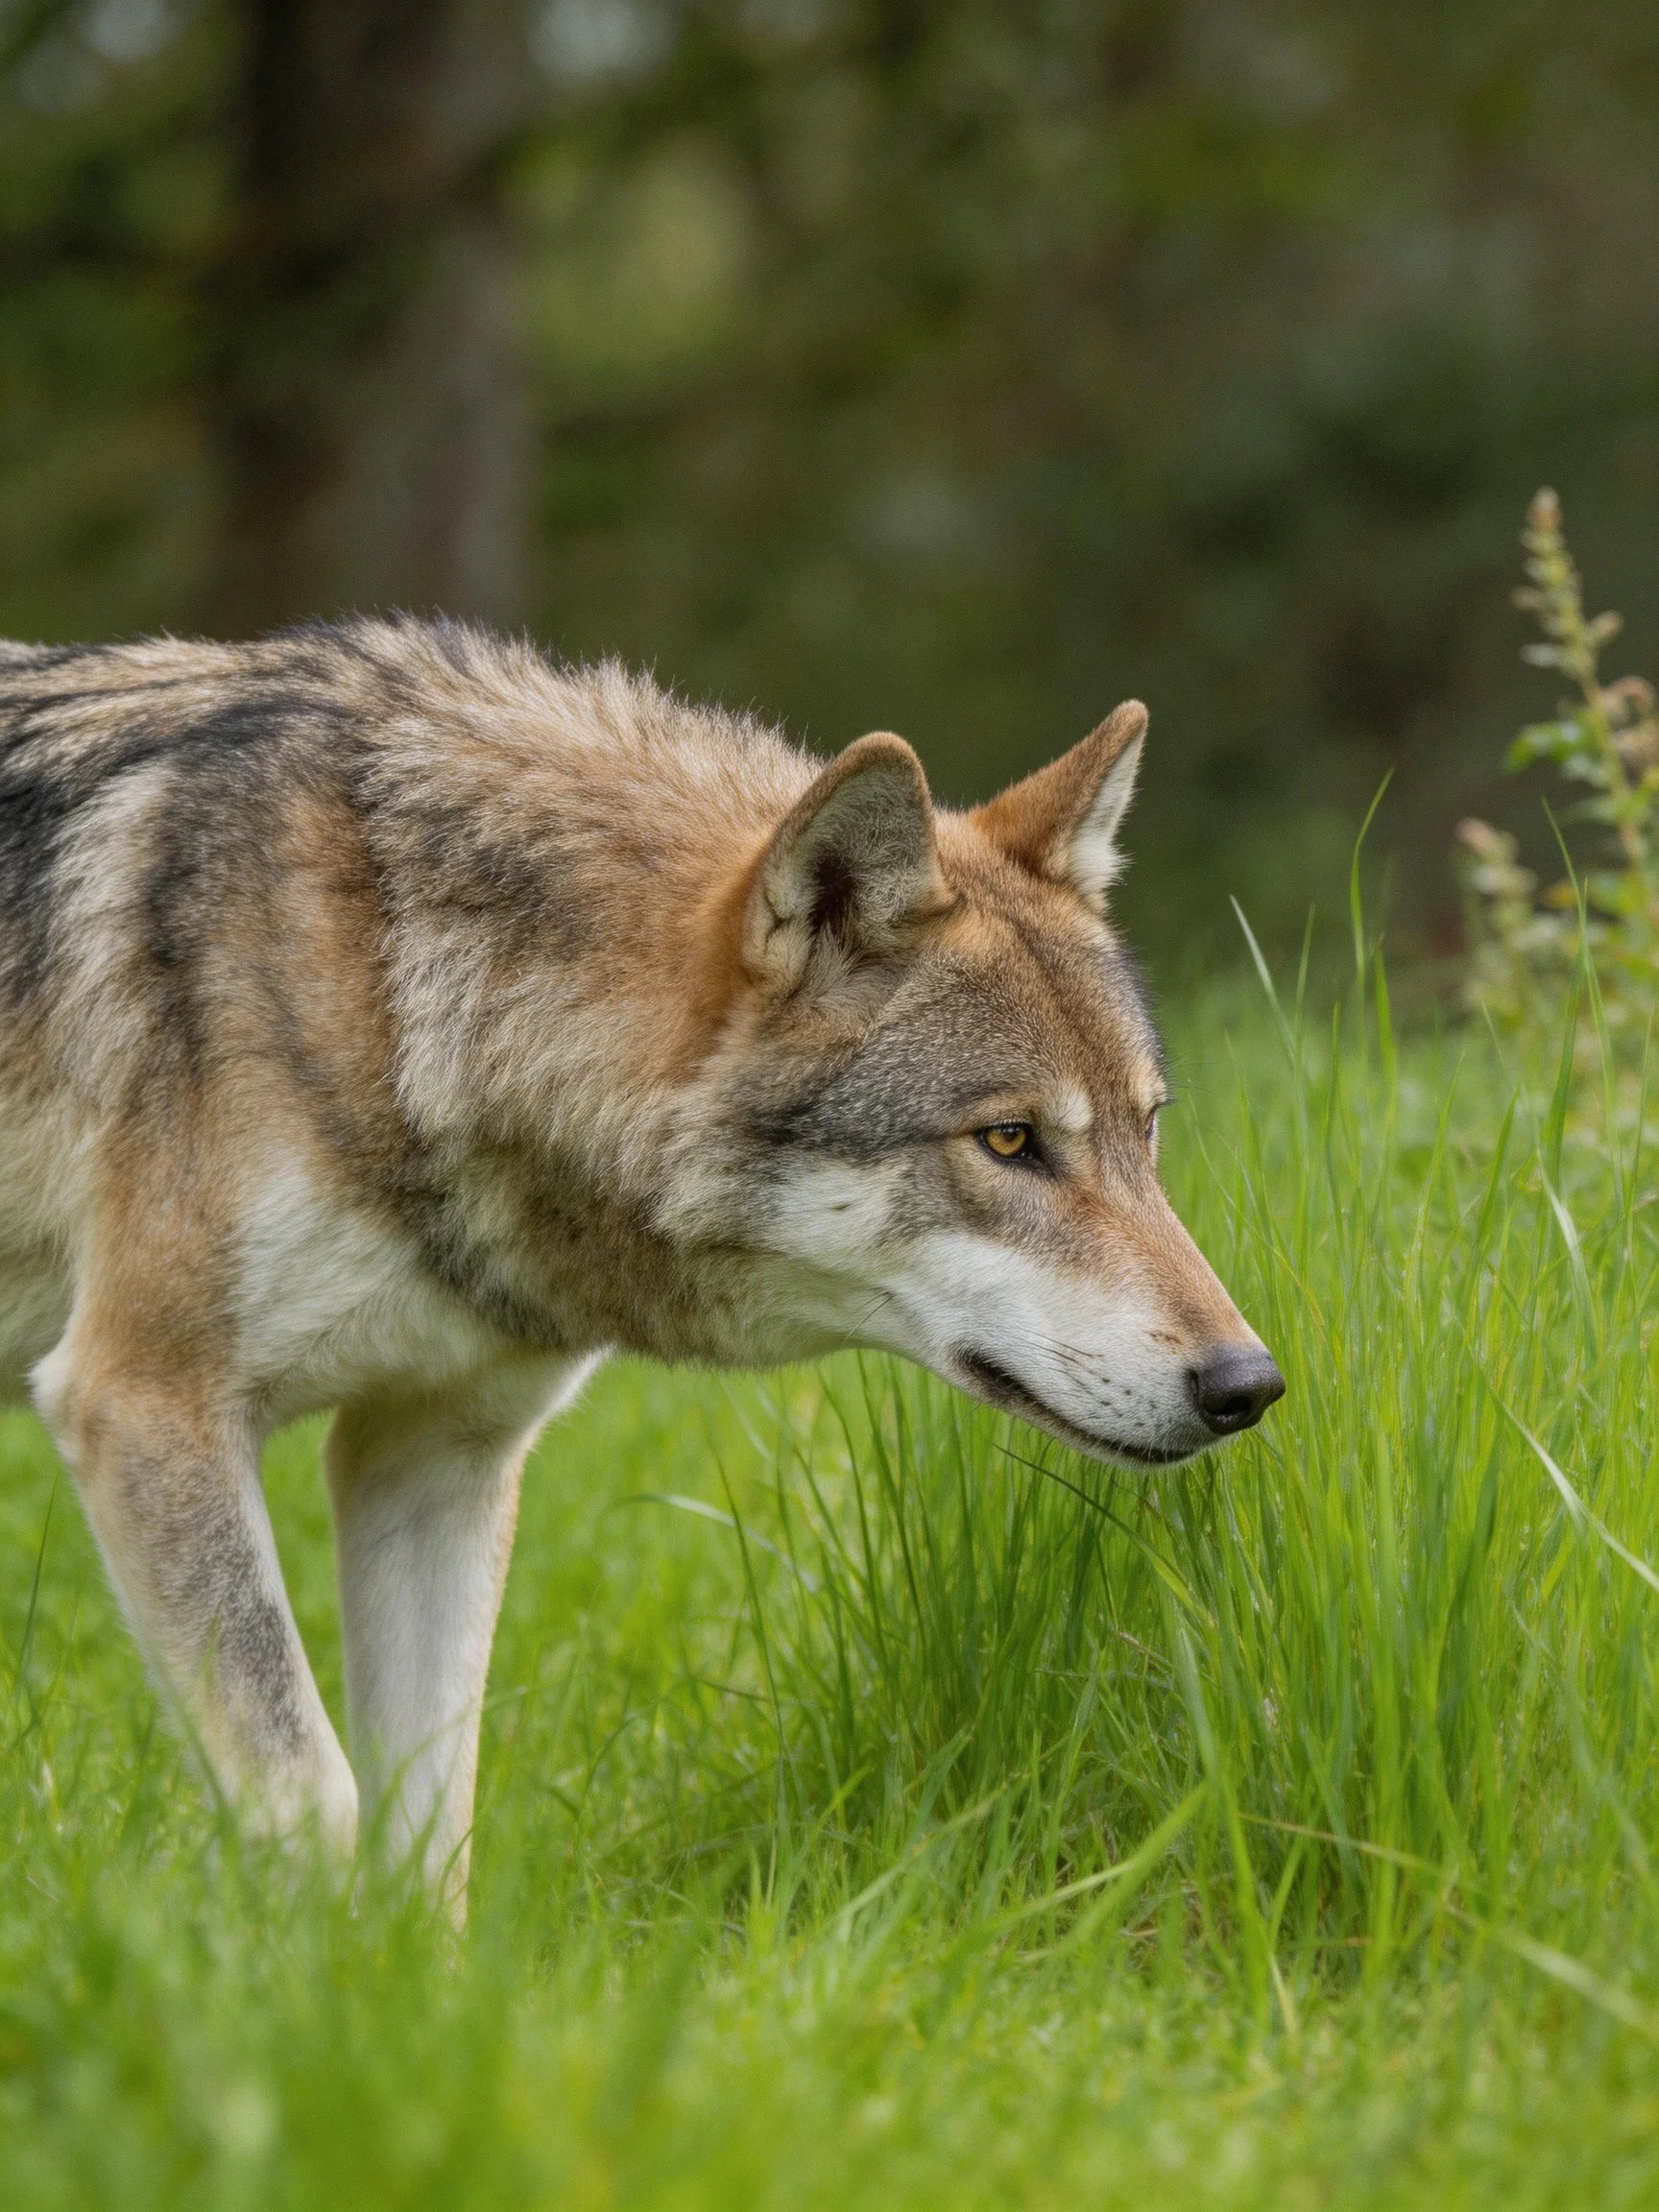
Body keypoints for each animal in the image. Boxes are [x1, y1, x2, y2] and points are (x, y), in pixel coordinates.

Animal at [0, 619, 1282, 1908]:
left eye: (1146, 1129)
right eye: (1011, 1141)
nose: (1250, 1386)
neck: (394, 976)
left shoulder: (431, 1458)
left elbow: (430, 1835)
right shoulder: (143, 1402)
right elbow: (315, 1802)